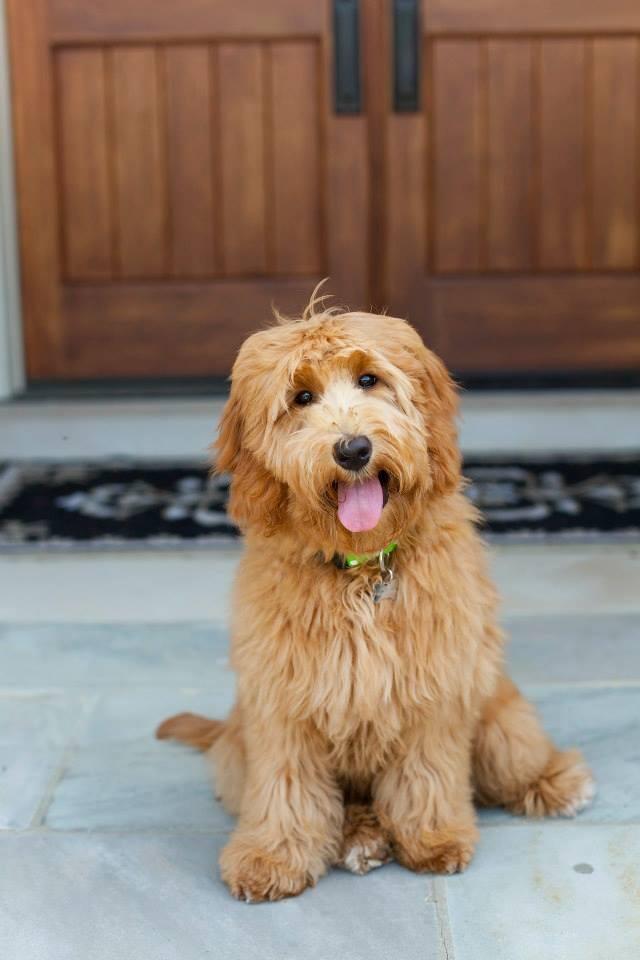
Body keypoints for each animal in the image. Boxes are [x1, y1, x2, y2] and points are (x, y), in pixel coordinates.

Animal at [156, 298, 596, 900]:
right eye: (301, 397)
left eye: (369, 379)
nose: (354, 449)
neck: (363, 568)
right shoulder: (281, 700)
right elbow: (285, 785)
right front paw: (271, 856)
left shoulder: (434, 688)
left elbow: (428, 771)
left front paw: (433, 838)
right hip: (239, 747)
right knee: (344, 806)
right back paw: (361, 839)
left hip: (499, 713)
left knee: (512, 760)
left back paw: (551, 780)